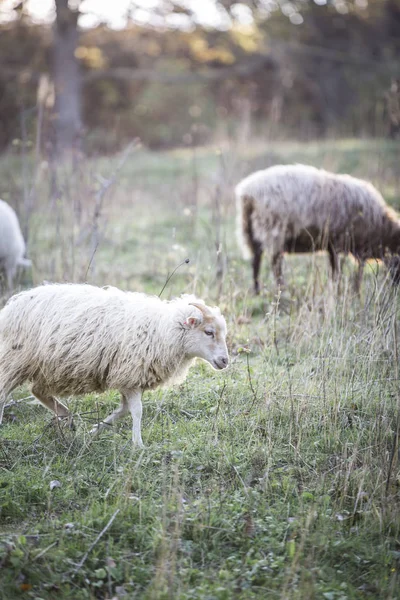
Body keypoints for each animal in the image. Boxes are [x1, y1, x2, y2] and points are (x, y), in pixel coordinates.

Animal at [0, 284, 228, 446]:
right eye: (209, 332)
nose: (225, 361)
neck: (161, 331)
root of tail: (10, 307)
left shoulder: (129, 378)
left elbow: (124, 410)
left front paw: (95, 430)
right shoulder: (130, 374)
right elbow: (137, 411)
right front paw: (139, 445)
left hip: (44, 369)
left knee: (38, 391)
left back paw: (68, 418)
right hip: (15, 360)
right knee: (5, 394)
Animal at [236, 165, 400, 294]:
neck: (380, 228)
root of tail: (248, 191)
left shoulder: (335, 245)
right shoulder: (340, 242)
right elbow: (342, 272)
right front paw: (345, 291)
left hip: (251, 230)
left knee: (256, 261)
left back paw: (257, 291)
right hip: (272, 229)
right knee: (275, 264)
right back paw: (281, 290)